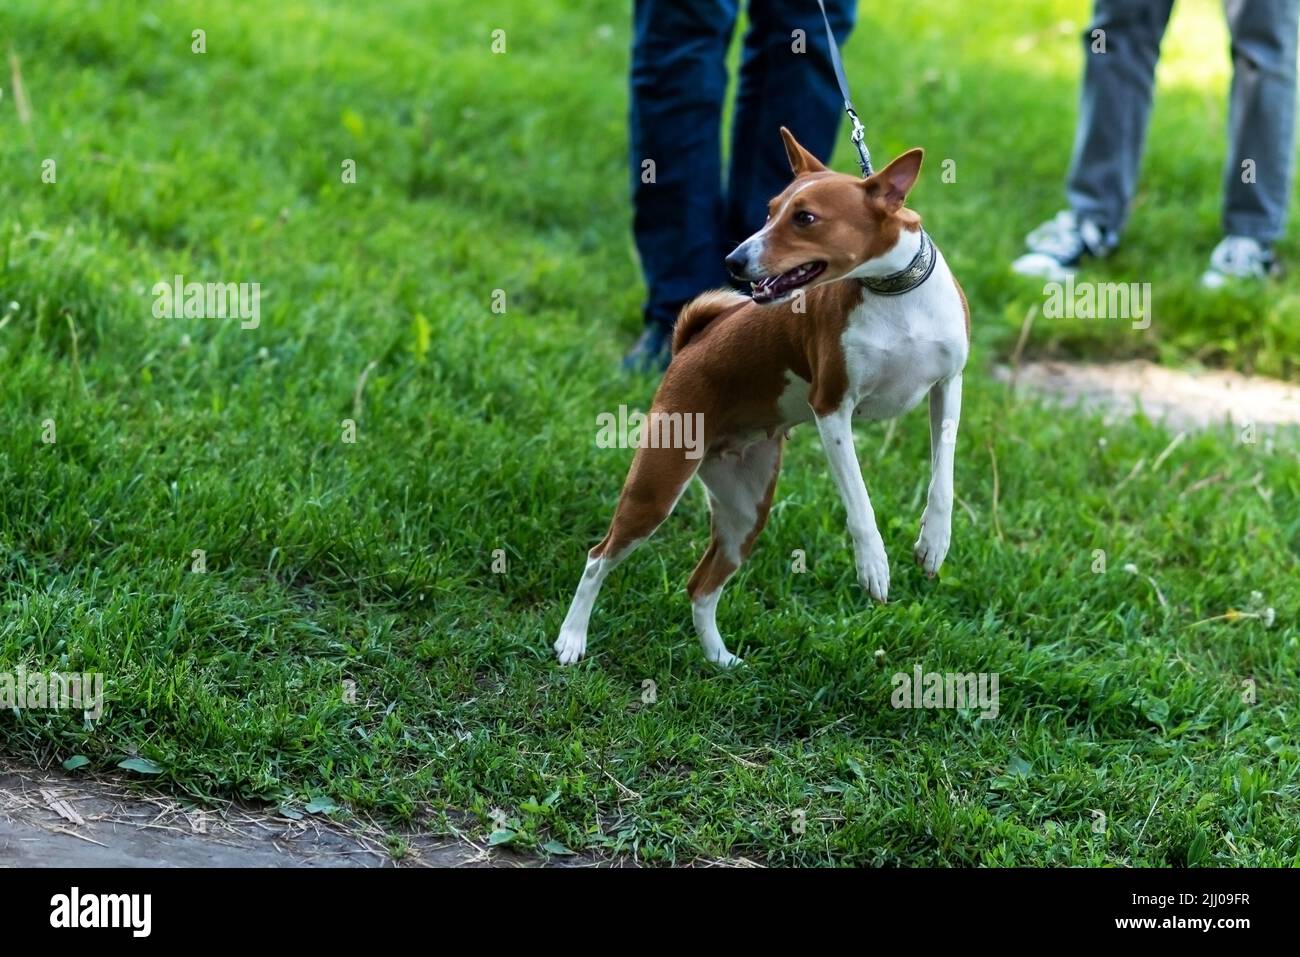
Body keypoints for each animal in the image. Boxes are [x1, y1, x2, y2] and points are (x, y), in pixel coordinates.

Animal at [553, 127, 972, 665]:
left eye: (805, 218)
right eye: (770, 210)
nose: (733, 261)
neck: (895, 296)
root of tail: (688, 345)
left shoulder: (948, 387)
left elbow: (943, 478)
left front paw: (934, 541)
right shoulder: (832, 409)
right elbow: (859, 502)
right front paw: (874, 564)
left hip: (745, 510)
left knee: (700, 586)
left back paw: (719, 660)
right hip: (657, 485)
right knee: (598, 558)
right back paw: (572, 639)